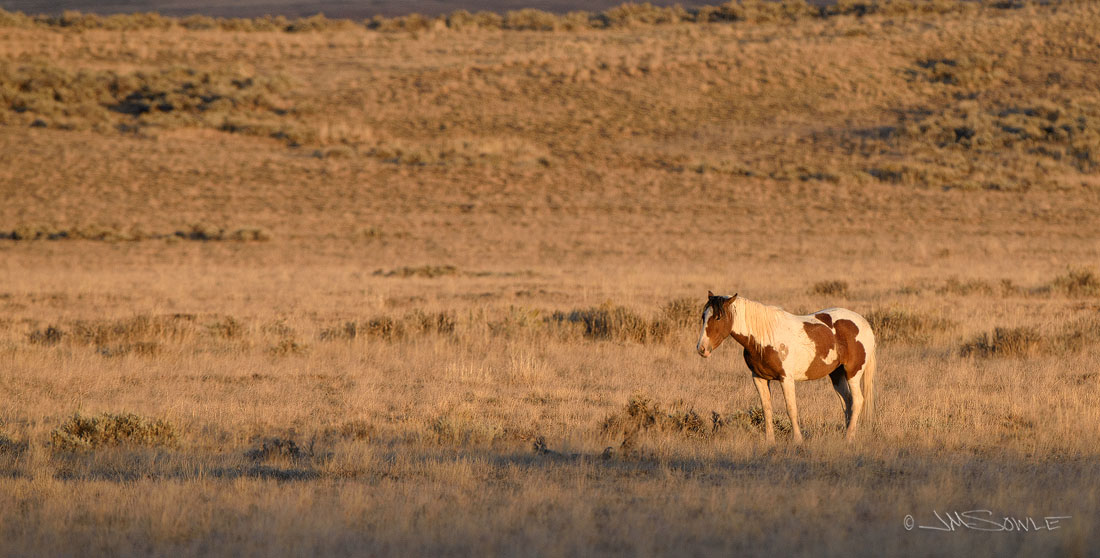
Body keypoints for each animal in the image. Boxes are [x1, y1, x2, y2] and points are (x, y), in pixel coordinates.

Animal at [696, 291, 877, 443]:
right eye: (703, 316)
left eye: (718, 317)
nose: (701, 348)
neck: (765, 338)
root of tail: (864, 323)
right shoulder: (759, 378)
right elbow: (767, 410)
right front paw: (770, 442)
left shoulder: (786, 379)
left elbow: (791, 409)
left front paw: (797, 440)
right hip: (837, 375)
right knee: (848, 402)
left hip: (853, 373)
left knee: (857, 401)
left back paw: (849, 438)